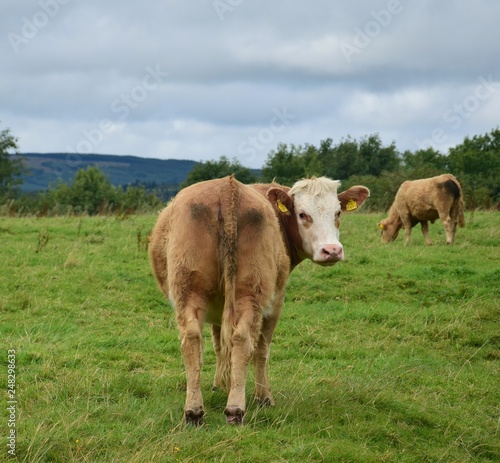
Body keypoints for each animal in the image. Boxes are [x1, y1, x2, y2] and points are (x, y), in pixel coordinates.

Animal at [146, 176, 370, 426]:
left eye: (338, 212)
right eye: (302, 214)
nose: (331, 250)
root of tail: (227, 188)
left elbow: (219, 344)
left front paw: (219, 384)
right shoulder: (275, 302)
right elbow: (261, 349)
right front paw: (262, 396)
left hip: (190, 290)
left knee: (193, 340)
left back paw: (194, 410)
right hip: (253, 292)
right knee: (245, 340)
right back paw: (236, 408)